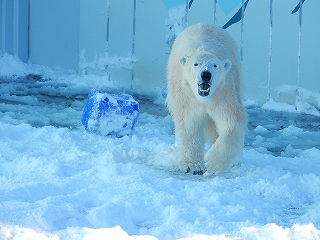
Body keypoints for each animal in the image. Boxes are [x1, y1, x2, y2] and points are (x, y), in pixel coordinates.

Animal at [166, 23, 246, 174]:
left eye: (215, 65)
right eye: (196, 64)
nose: (206, 75)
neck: (203, 99)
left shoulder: (222, 95)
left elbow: (231, 123)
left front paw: (213, 163)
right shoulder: (187, 99)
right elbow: (189, 125)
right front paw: (193, 166)